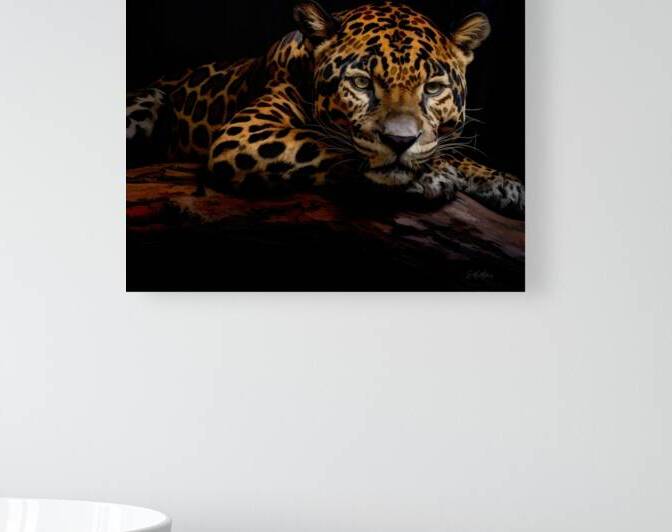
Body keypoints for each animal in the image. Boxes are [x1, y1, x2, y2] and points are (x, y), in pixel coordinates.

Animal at [127, 1, 525, 218]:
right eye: (362, 83)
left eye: (432, 88)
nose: (400, 141)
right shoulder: (244, 134)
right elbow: (330, 144)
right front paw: (431, 175)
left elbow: (447, 149)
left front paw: (500, 181)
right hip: (150, 100)